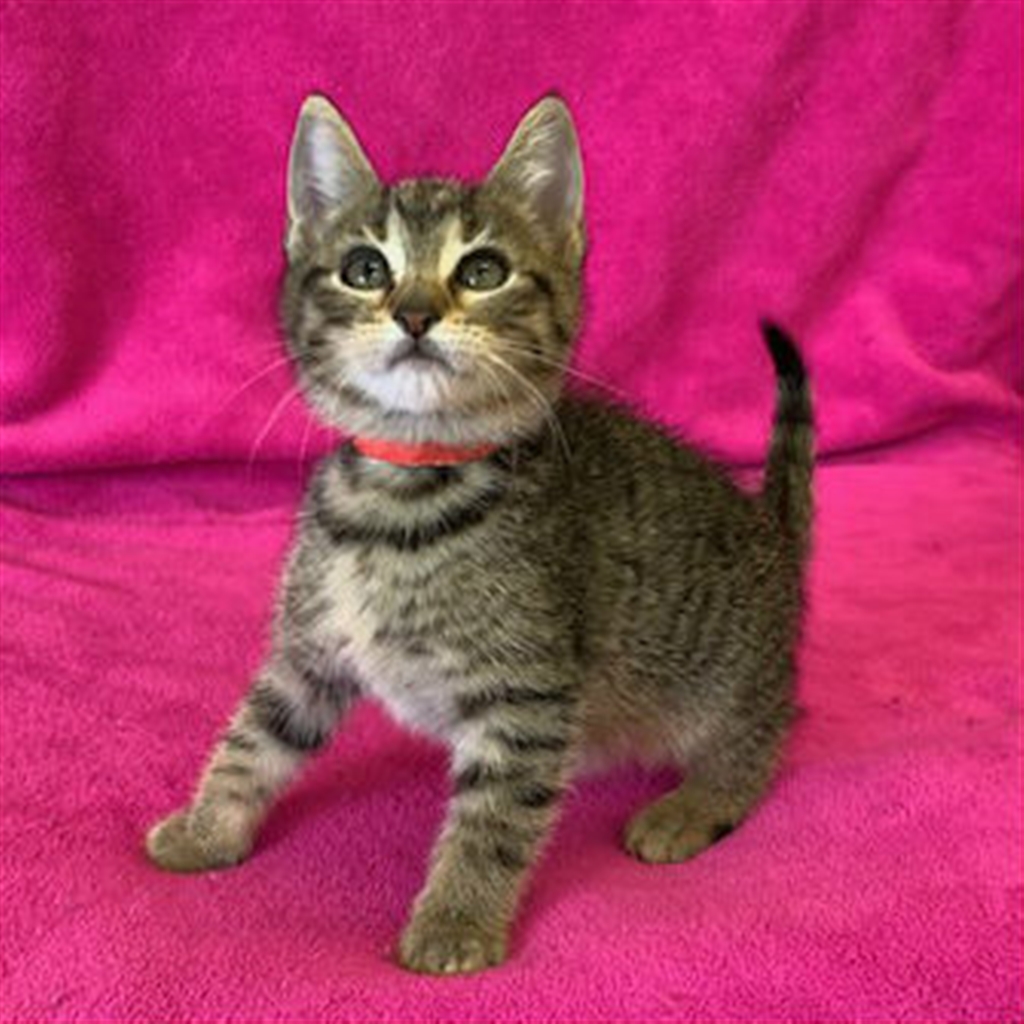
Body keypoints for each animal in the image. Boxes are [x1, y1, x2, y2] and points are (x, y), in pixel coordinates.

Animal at [146, 93, 813, 975]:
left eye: (482, 271)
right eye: (366, 269)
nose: (415, 313)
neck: (404, 494)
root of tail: (771, 532)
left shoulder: (524, 696)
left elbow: (493, 820)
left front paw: (456, 921)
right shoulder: (309, 652)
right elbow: (255, 738)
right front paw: (206, 828)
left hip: (725, 680)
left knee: (758, 740)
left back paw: (695, 802)